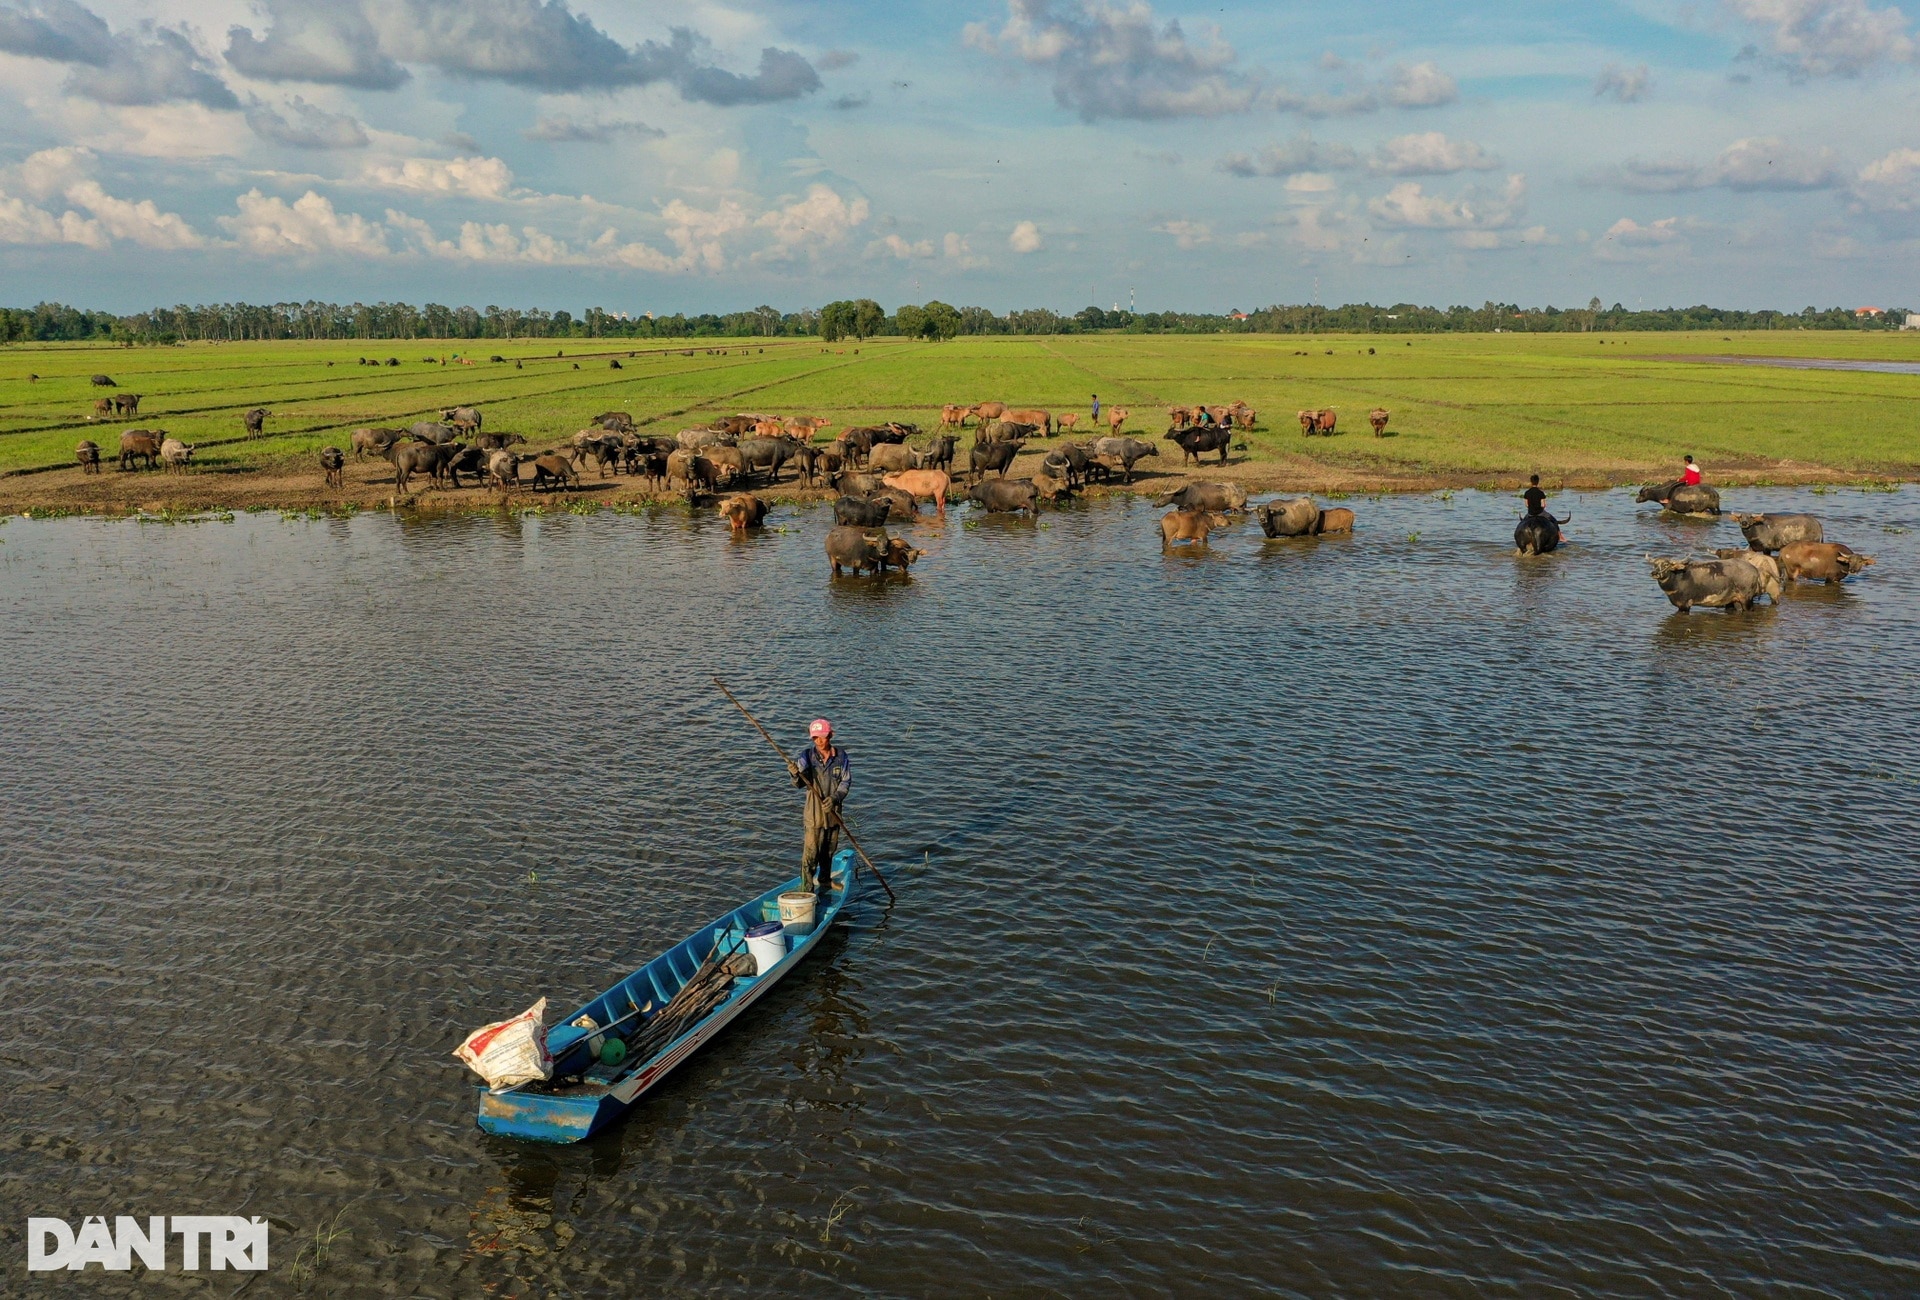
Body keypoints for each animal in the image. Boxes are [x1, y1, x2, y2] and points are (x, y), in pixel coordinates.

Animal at [1643, 553, 1774, 614]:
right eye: (1654, 564)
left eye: (1666, 565)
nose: (1654, 573)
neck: (1677, 579)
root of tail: (1755, 570)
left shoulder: (1685, 605)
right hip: (1734, 601)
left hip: (1746, 600)